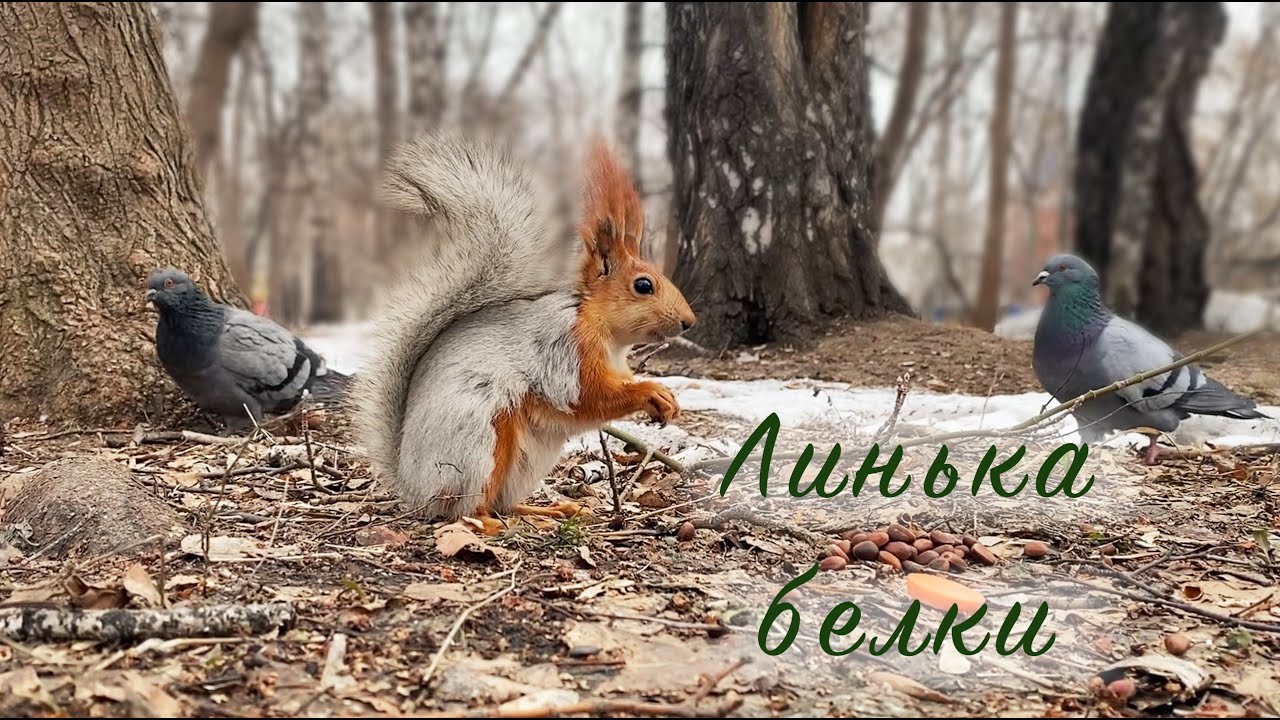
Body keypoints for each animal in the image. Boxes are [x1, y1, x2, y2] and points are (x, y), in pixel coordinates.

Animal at [352, 133, 697, 535]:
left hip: (524, 464)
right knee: (467, 509)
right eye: (644, 285)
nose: (689, 322)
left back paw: (549, 512)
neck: (603, 329)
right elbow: (589, 397)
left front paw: (669, 400)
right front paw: (651, 393)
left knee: (505, 502)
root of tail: (414, 487)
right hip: (483, 444)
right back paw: (491, 523)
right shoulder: (564, 351)